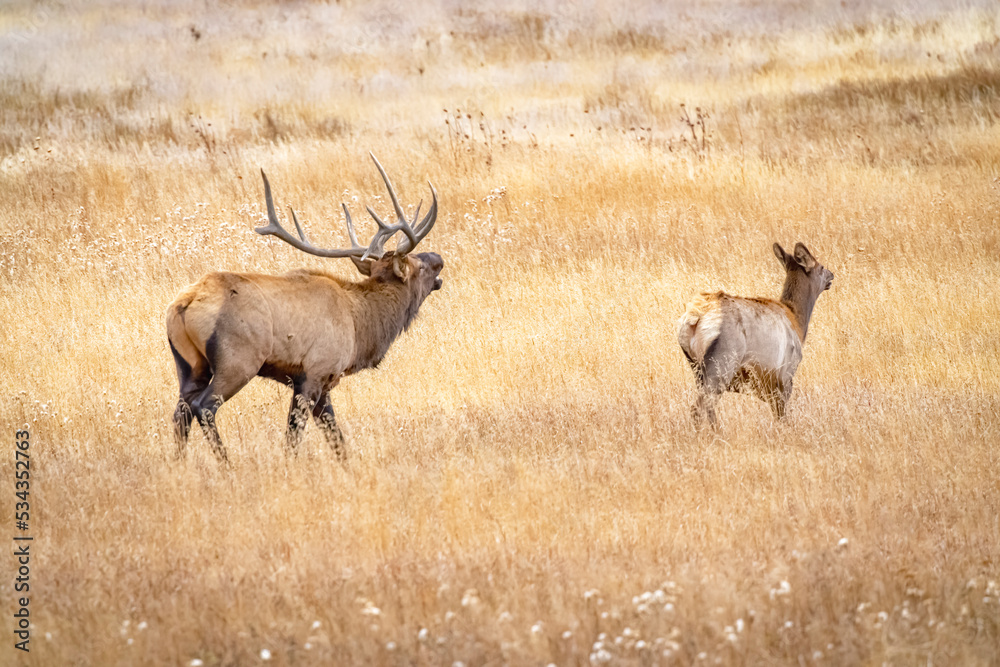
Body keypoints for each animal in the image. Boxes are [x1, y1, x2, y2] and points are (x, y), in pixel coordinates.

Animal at [166, 154, 444, 462]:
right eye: (418, 265)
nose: (438, 258)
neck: (361, 326)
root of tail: (183, 305)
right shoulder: (315, 372)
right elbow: (294, 437)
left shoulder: (321, 382)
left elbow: (337, 440)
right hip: (237, 361)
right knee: (203, 407)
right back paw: (226, 465)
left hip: (190, 365)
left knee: (180, 413)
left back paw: (180, 464)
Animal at [677, 242, 834, 427]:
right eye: (821, 267)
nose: (831, 274)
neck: (798, 322)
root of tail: (695, 318)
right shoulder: (785, 374)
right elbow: (782, 416)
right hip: (722, 362)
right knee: (699, 408)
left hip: (696, 368)